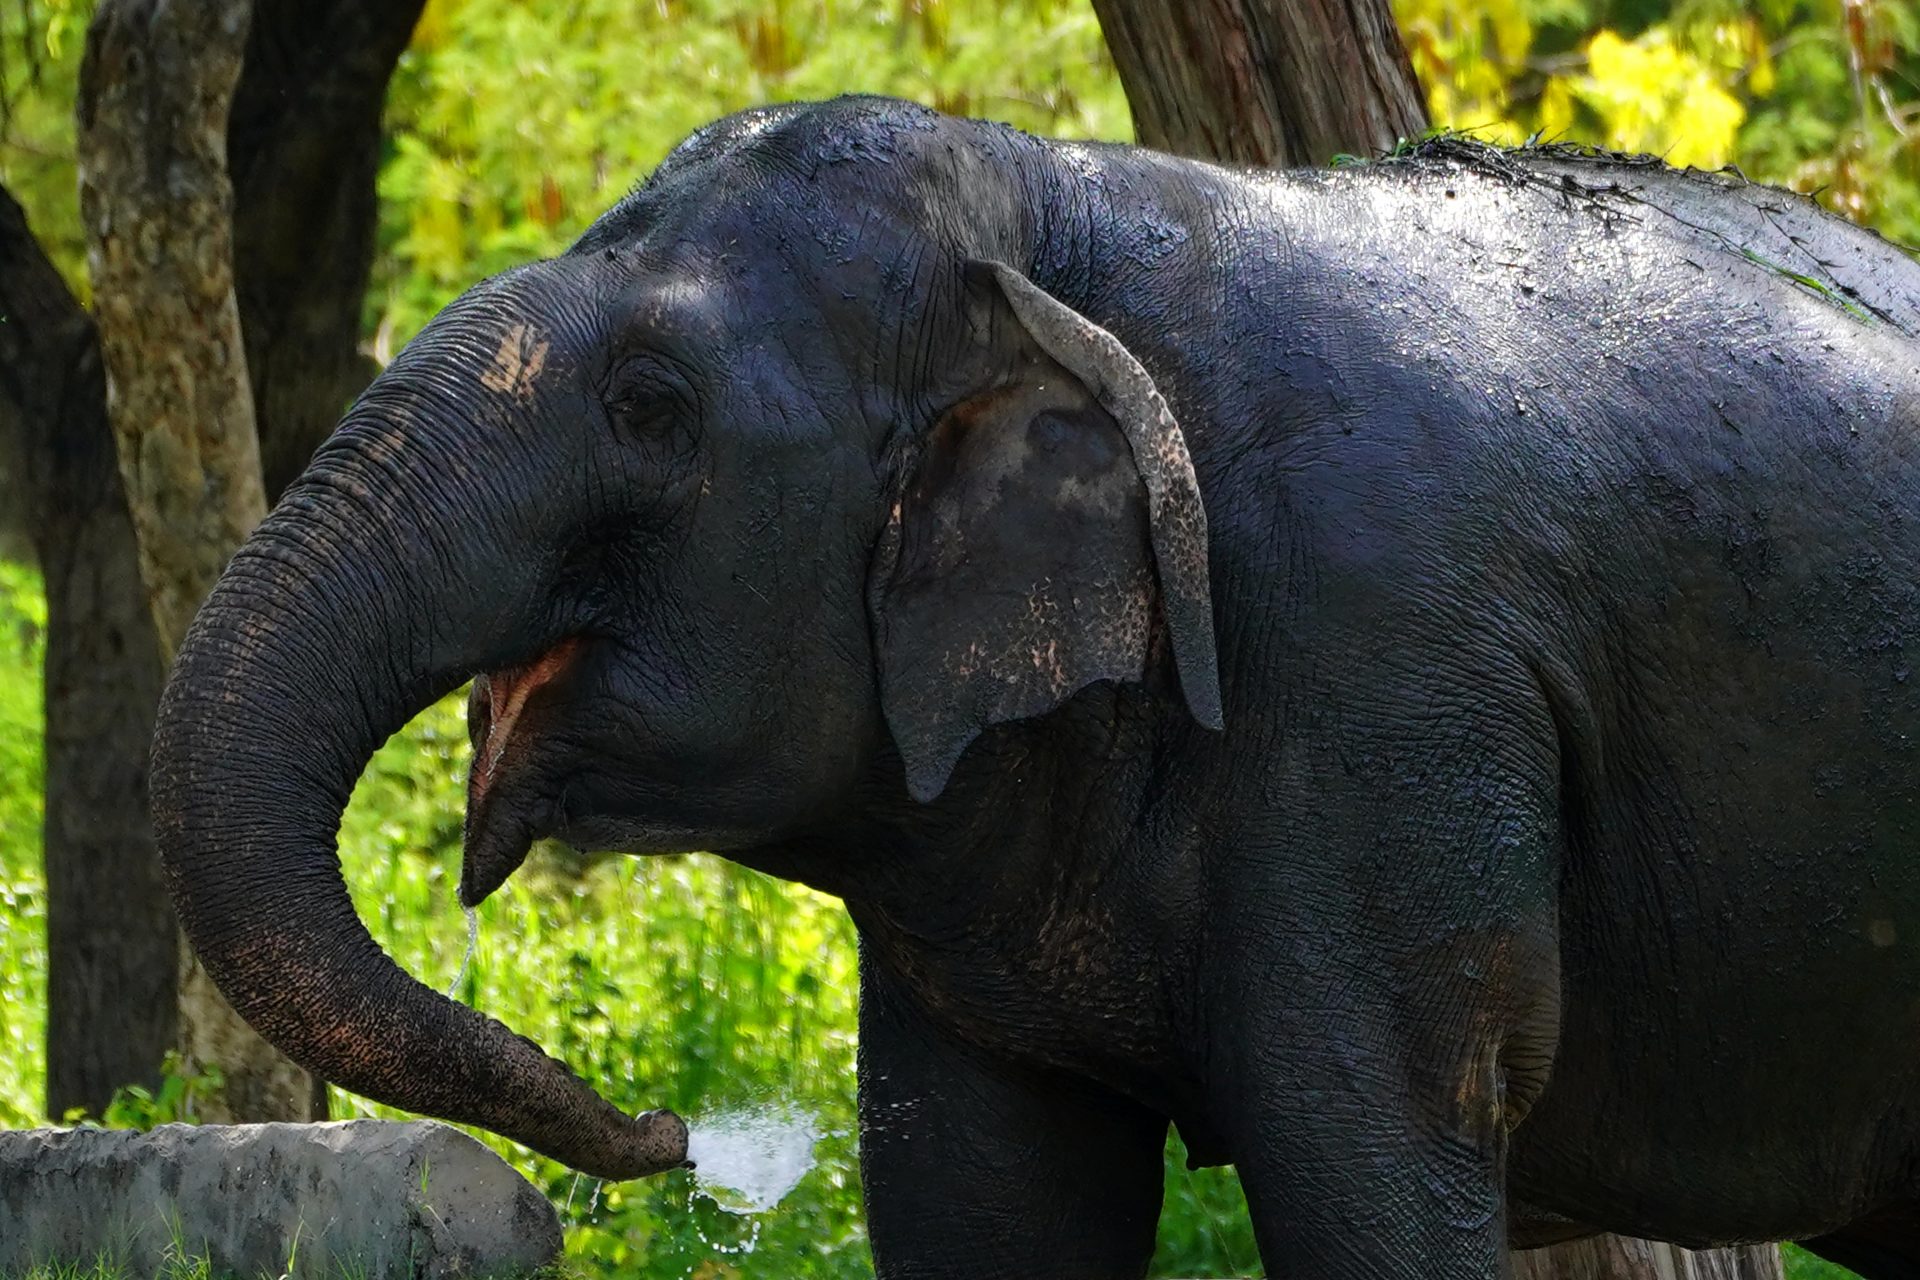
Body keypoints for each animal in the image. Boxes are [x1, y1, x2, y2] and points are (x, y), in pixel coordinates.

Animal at [153, 94, 1920, 1274]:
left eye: (652, 405)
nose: (668, 1142)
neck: (1057, 211)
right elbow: (984, 1194)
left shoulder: (1384, 679)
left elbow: (1369, 1164)